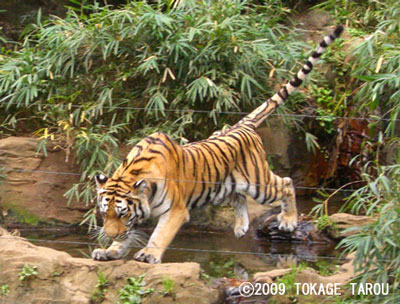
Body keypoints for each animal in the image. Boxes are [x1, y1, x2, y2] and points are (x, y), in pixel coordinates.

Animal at [91, 25, 344, 264]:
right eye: (105, 214)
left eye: (123, 214)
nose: (110, 235)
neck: (134, 173)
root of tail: (242, 126)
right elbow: (129, 235)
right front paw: (111, 250)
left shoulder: (175, 210)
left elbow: (160, 234)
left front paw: (148, 254)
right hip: (222, 184)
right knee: (237, 196)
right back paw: (241, 227)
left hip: (258, 182)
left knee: (286, 183)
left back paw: (288, 221)